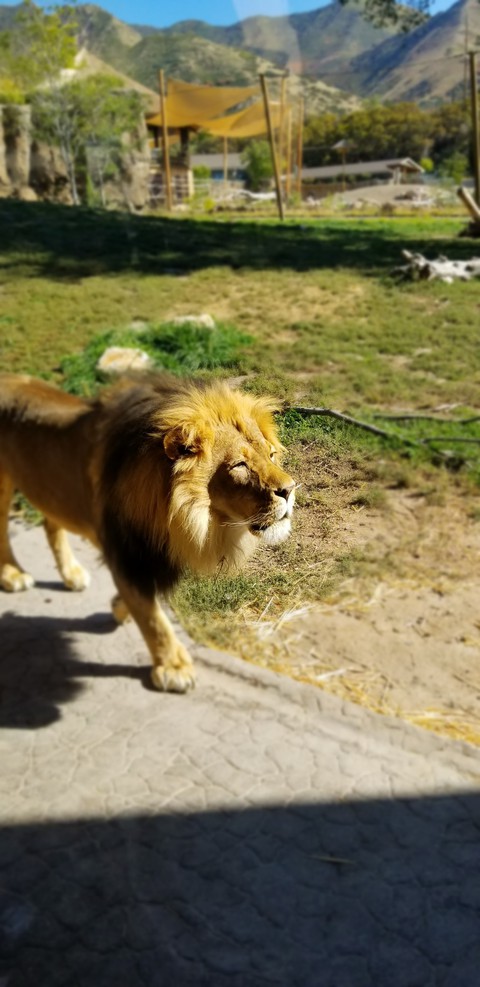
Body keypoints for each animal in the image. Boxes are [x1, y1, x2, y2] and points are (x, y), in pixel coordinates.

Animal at [0, 373, 295, 692]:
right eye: (240, 465)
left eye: (271, 455)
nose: (290, 490)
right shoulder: (126, 552)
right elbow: (151, 614)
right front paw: (173, 666)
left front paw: (118, 607)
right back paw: (13, 574)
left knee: (51, 523)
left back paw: (71, 573)